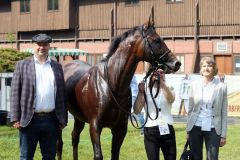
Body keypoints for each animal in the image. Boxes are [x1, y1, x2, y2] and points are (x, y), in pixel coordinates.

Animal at [57, 20, 181, 160]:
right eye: (156, 40)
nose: (176, 63)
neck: (112, 84)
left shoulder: (120, 128)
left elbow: (115, 154)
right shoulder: (95, 125)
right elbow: (98, 155)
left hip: (79, 118)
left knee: (74, 137)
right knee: (59, 144)